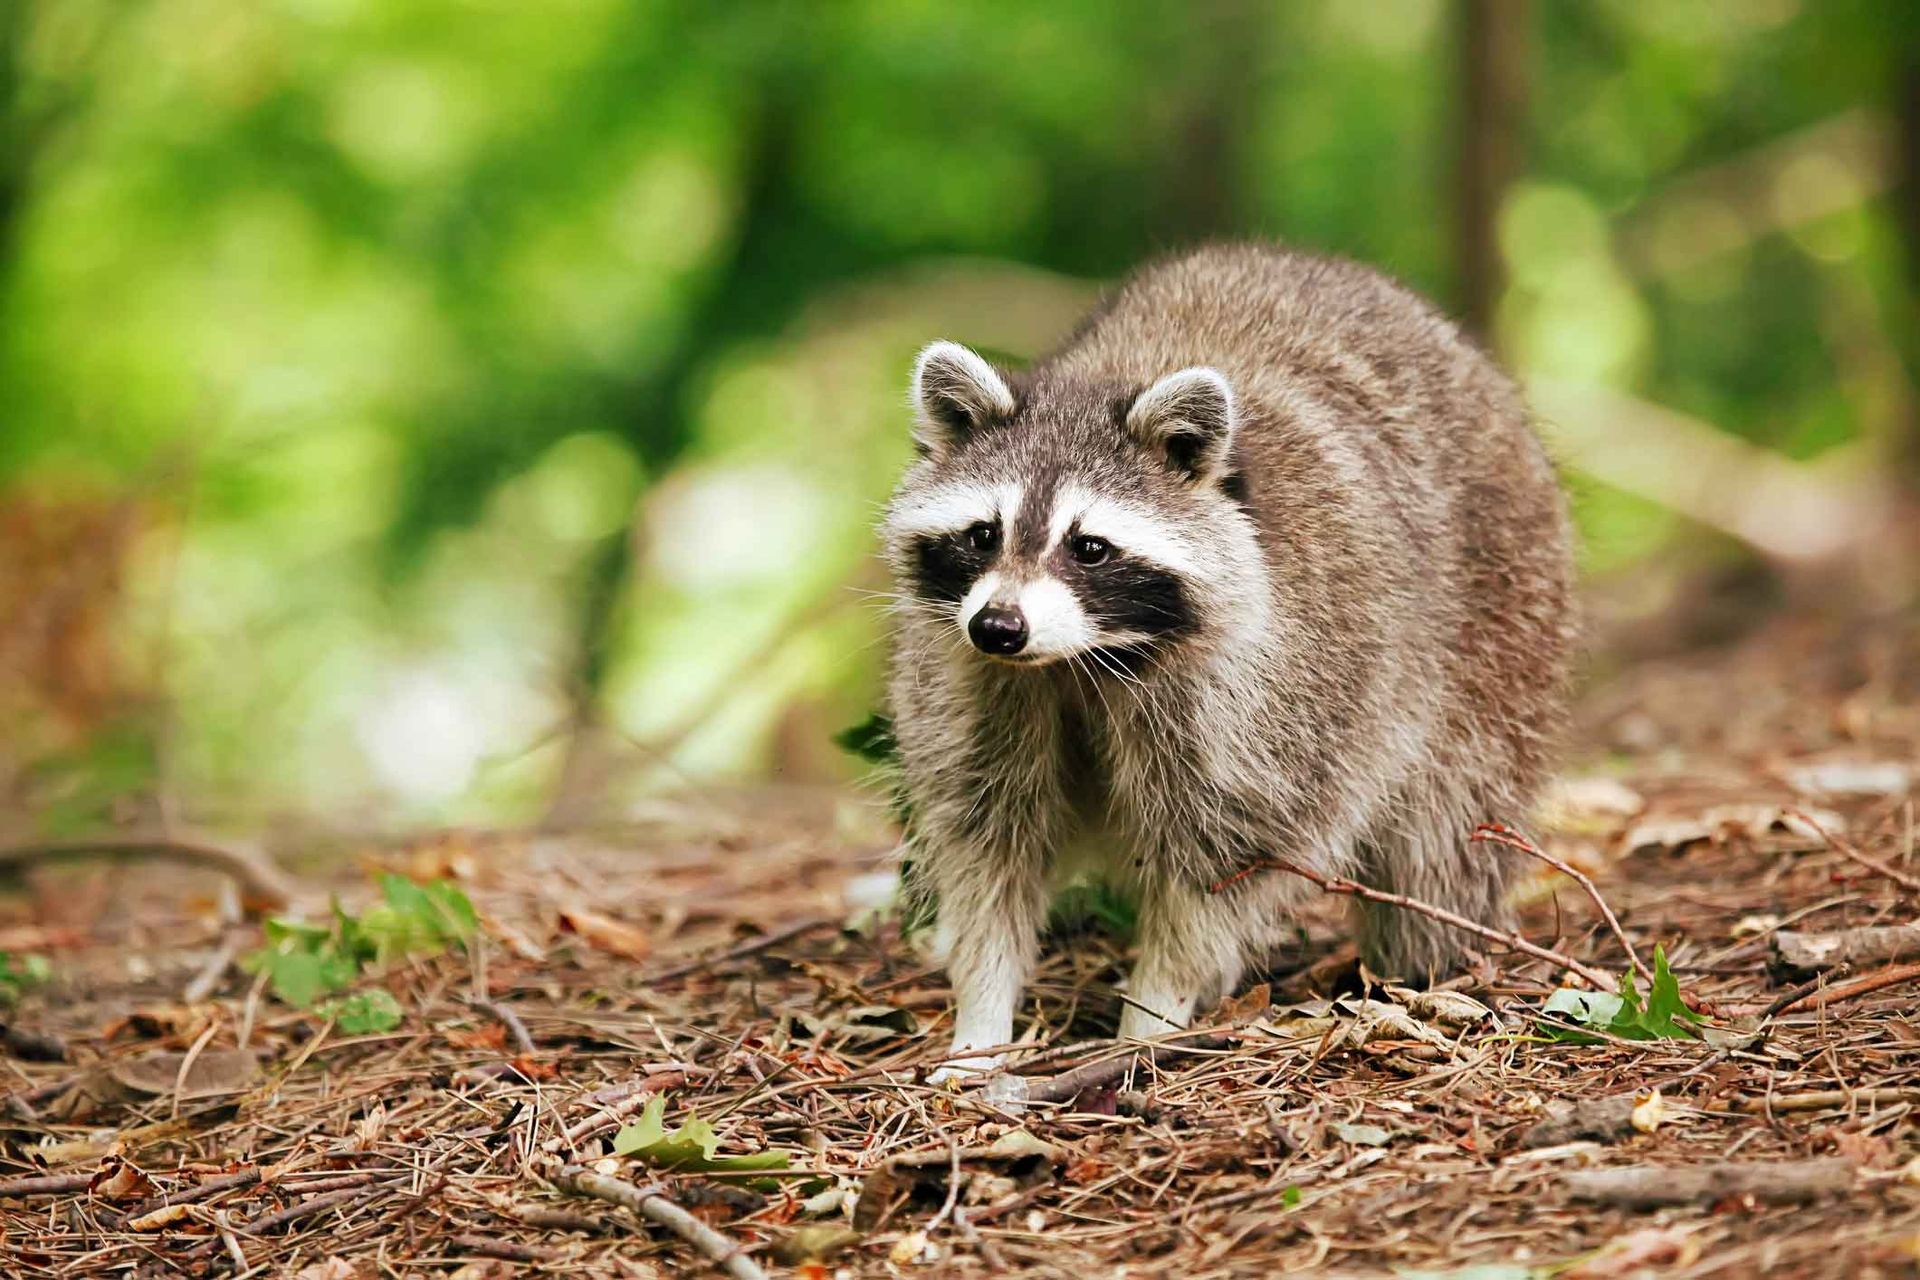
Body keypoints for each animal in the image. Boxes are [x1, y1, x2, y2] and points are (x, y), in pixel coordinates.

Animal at [880, 243, 1575, 1079]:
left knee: (1447, 837)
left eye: (1089, 547)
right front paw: (981, 1020)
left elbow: (1224, 864)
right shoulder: (977, 688)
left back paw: (1427, 967)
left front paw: (1151, 1013)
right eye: (984, 534)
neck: (1079, 662)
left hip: (1503, 630)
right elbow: (988, 846)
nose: (998, 627)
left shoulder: (1275, 696)